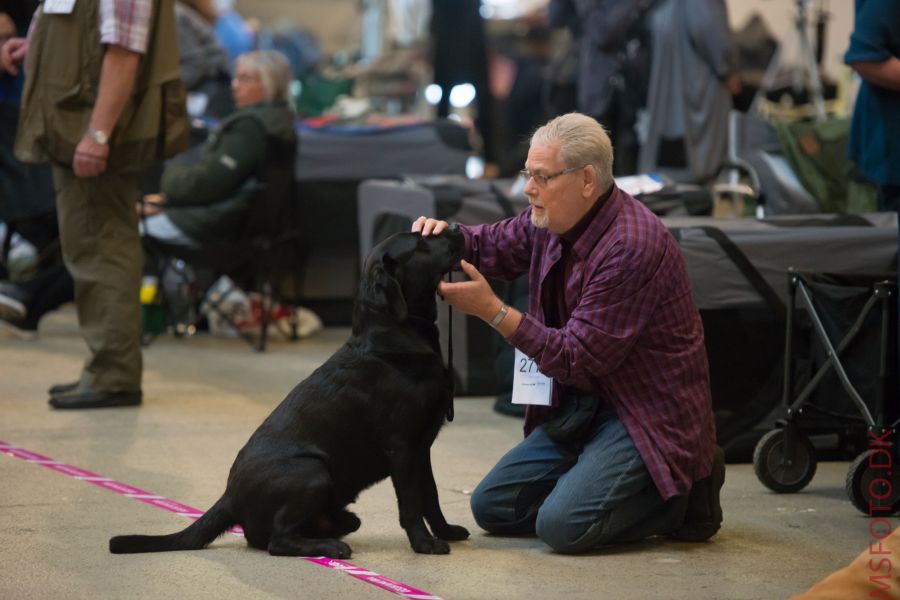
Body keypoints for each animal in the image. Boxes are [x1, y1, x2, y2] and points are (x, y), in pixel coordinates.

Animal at [109, 227, 468, 556]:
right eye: (420, 243)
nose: (454, 227)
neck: (395, 334)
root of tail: (229, 497)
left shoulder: (422, 446)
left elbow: (431, 496)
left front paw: (446, 531)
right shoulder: (402, 445)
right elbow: (411, 503)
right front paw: (423, 543)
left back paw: (335, 526)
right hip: (312, 472)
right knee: (277, 541)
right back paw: (330, 545)